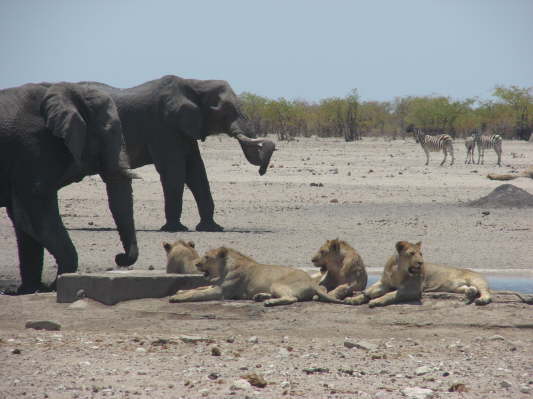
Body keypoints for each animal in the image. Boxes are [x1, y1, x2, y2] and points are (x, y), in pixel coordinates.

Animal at [0, 82, 139, 294]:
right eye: (110, 132)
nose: (119, 257)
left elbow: (22, 219)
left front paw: (31, 289)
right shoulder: (34, 148)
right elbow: (35, 214)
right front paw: (54, 286)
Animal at [83, 76, 276, 233]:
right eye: (225, 110)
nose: (261, 171)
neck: (195, 84)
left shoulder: (185, 129)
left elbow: (196, 171)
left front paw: (212, 228)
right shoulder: (163, 126)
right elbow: (175, 171)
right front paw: (175, 229)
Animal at [168, 245, 340, 308]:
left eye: (207, 257)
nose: (196, 263)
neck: (224, 269)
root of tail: (312, 282)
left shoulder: (221, 292)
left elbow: (197, 293)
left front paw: (177, 297)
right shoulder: (214, 285)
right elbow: (197, 288)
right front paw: (180, 291)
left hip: (277, 284)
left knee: (292, 298)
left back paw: (269, 301)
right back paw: (261, 296)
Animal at [344, 241, 490, 310]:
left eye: (421, 253)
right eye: (411, 253)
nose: (421, 262)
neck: (398, 271)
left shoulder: (412, 290)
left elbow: (391, 294)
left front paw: (377, 301)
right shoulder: (384, 283)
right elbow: (368, 291)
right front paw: (355, 299)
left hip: (476, 279)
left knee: (485, 292)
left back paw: (482, 299)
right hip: (457, 287)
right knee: (471, 289)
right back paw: (469, 293)